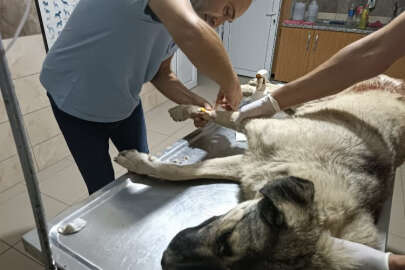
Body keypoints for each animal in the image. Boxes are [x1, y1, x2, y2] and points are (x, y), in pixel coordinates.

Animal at [113, 74, 404, 270]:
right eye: (225, 239)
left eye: (226, 249)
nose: (164, 260)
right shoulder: (256, 130)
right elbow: (226, 116)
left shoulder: (248, 166)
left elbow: (184, 171)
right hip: (321, 91)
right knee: (281, 90)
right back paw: (249, 87)